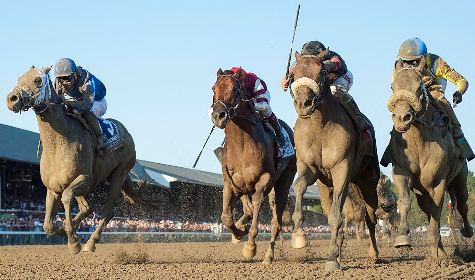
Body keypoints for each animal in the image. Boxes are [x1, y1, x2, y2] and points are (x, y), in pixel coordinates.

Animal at [6, 67, 139, 254]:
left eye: (38, 80)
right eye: (19, 78)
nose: (12, 99)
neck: (59, 142)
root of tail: (126, 132)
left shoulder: (85, 179)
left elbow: (67, 197)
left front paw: (74, 242)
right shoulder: (52, 187)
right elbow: (48, 226)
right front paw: (64, 230)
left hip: (119, 173)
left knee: (107, 211)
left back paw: (90, 243)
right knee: (87, 208)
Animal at [210, 68, 296, 264]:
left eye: (235, 89)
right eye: (213, 89)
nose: (219, 116)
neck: (242, 144)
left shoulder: (264, 180)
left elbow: (257, 206)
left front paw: (250, 246)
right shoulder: (230, 182)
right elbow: (226, 217)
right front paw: (239, 232)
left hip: (283, 184)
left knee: (276, 222)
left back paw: (268, 256)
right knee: (248, 209)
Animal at [288, 50, 382, 272]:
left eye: (321, 71)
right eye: (294, 73)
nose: (304, 104)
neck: (320, 127)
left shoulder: (342, 169)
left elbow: (335, 217)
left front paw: (331, 259)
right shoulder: (309, 168)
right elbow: (299, 187)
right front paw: (299, 236)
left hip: (368, 180)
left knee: (370, 216)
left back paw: (373, 254)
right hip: (326, 187)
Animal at [386, 59, 472, 258]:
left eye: (419, 87)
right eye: (393, 87)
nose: (401, 118)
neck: (418, 141)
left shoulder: (437, 181)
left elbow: (437, 210)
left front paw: (440, 254)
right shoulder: (401, 170)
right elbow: (405, 200)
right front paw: (402, 237)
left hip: (460, 177)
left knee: (462, 202)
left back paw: (466, 231)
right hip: (421, 191)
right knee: (429, 209)